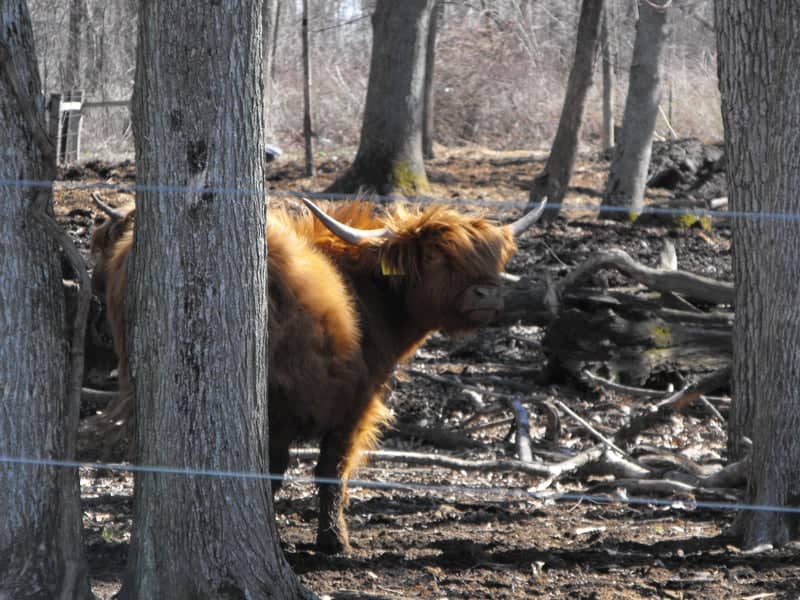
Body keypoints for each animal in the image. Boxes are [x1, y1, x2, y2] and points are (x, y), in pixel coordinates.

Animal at [89, 194, 545, 554]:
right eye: (435, 256)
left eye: (492, 258)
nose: (488, 294)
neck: (369, 297)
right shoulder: (354, 403)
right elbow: (331, 470)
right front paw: (334, 541)